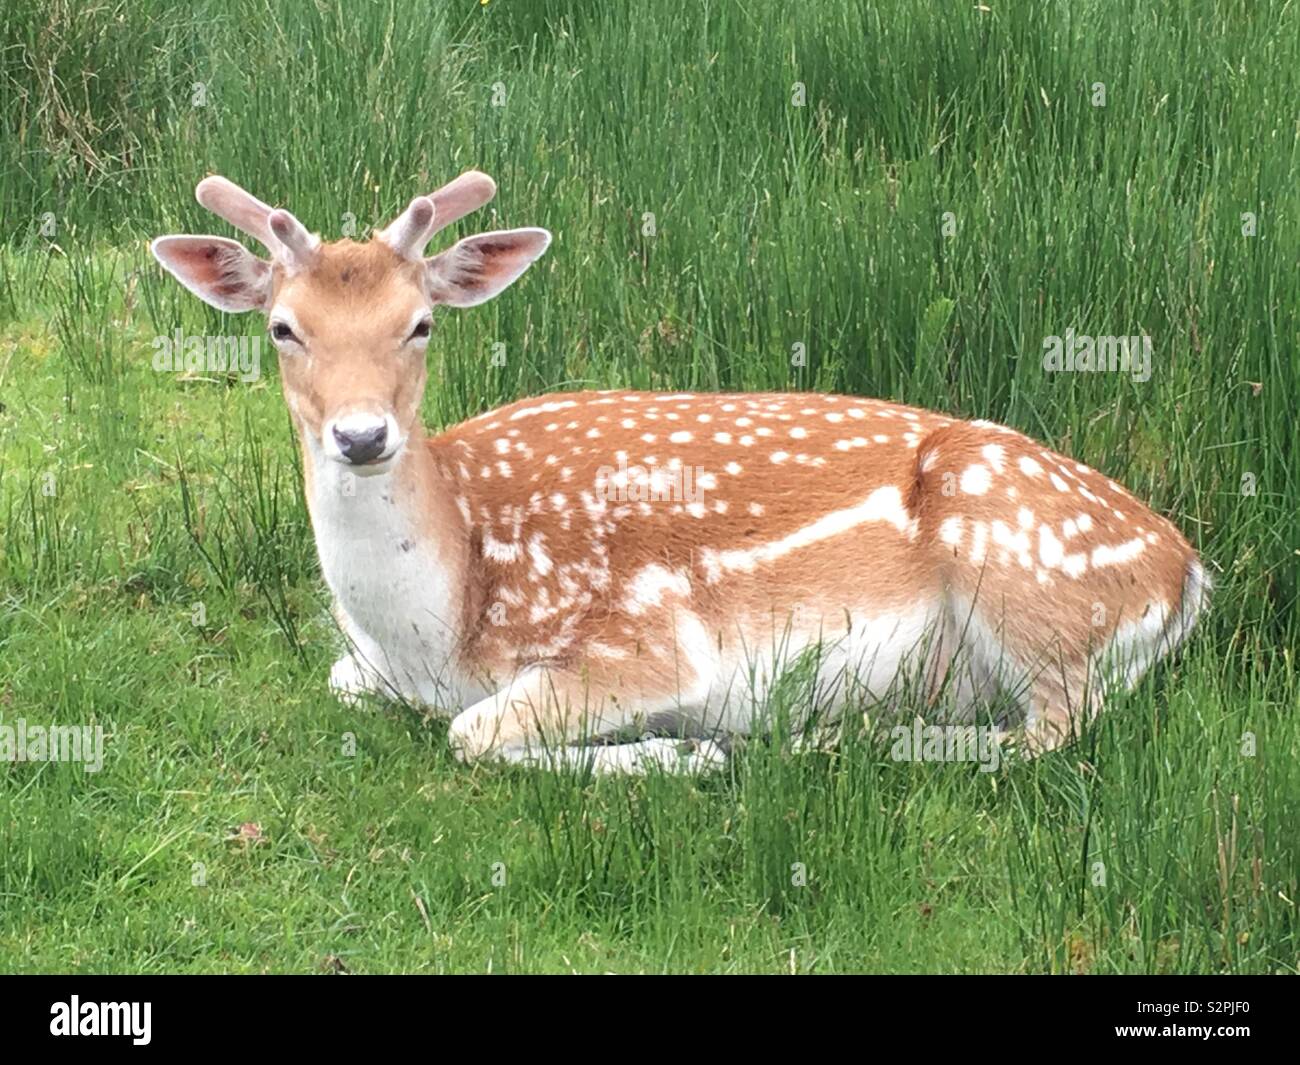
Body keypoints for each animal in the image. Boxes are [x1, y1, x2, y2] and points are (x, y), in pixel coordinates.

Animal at [154, 172, 1206, 775]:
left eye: (420, 323)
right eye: (282, 328)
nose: (363, 436)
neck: (439, 626)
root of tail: (1189, 575)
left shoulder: (644, 641)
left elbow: (473, 736)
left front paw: (684, 749)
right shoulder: (366, 665)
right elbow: (346, 683)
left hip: (1025, 577)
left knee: (1055, 730)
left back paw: (840, 737)